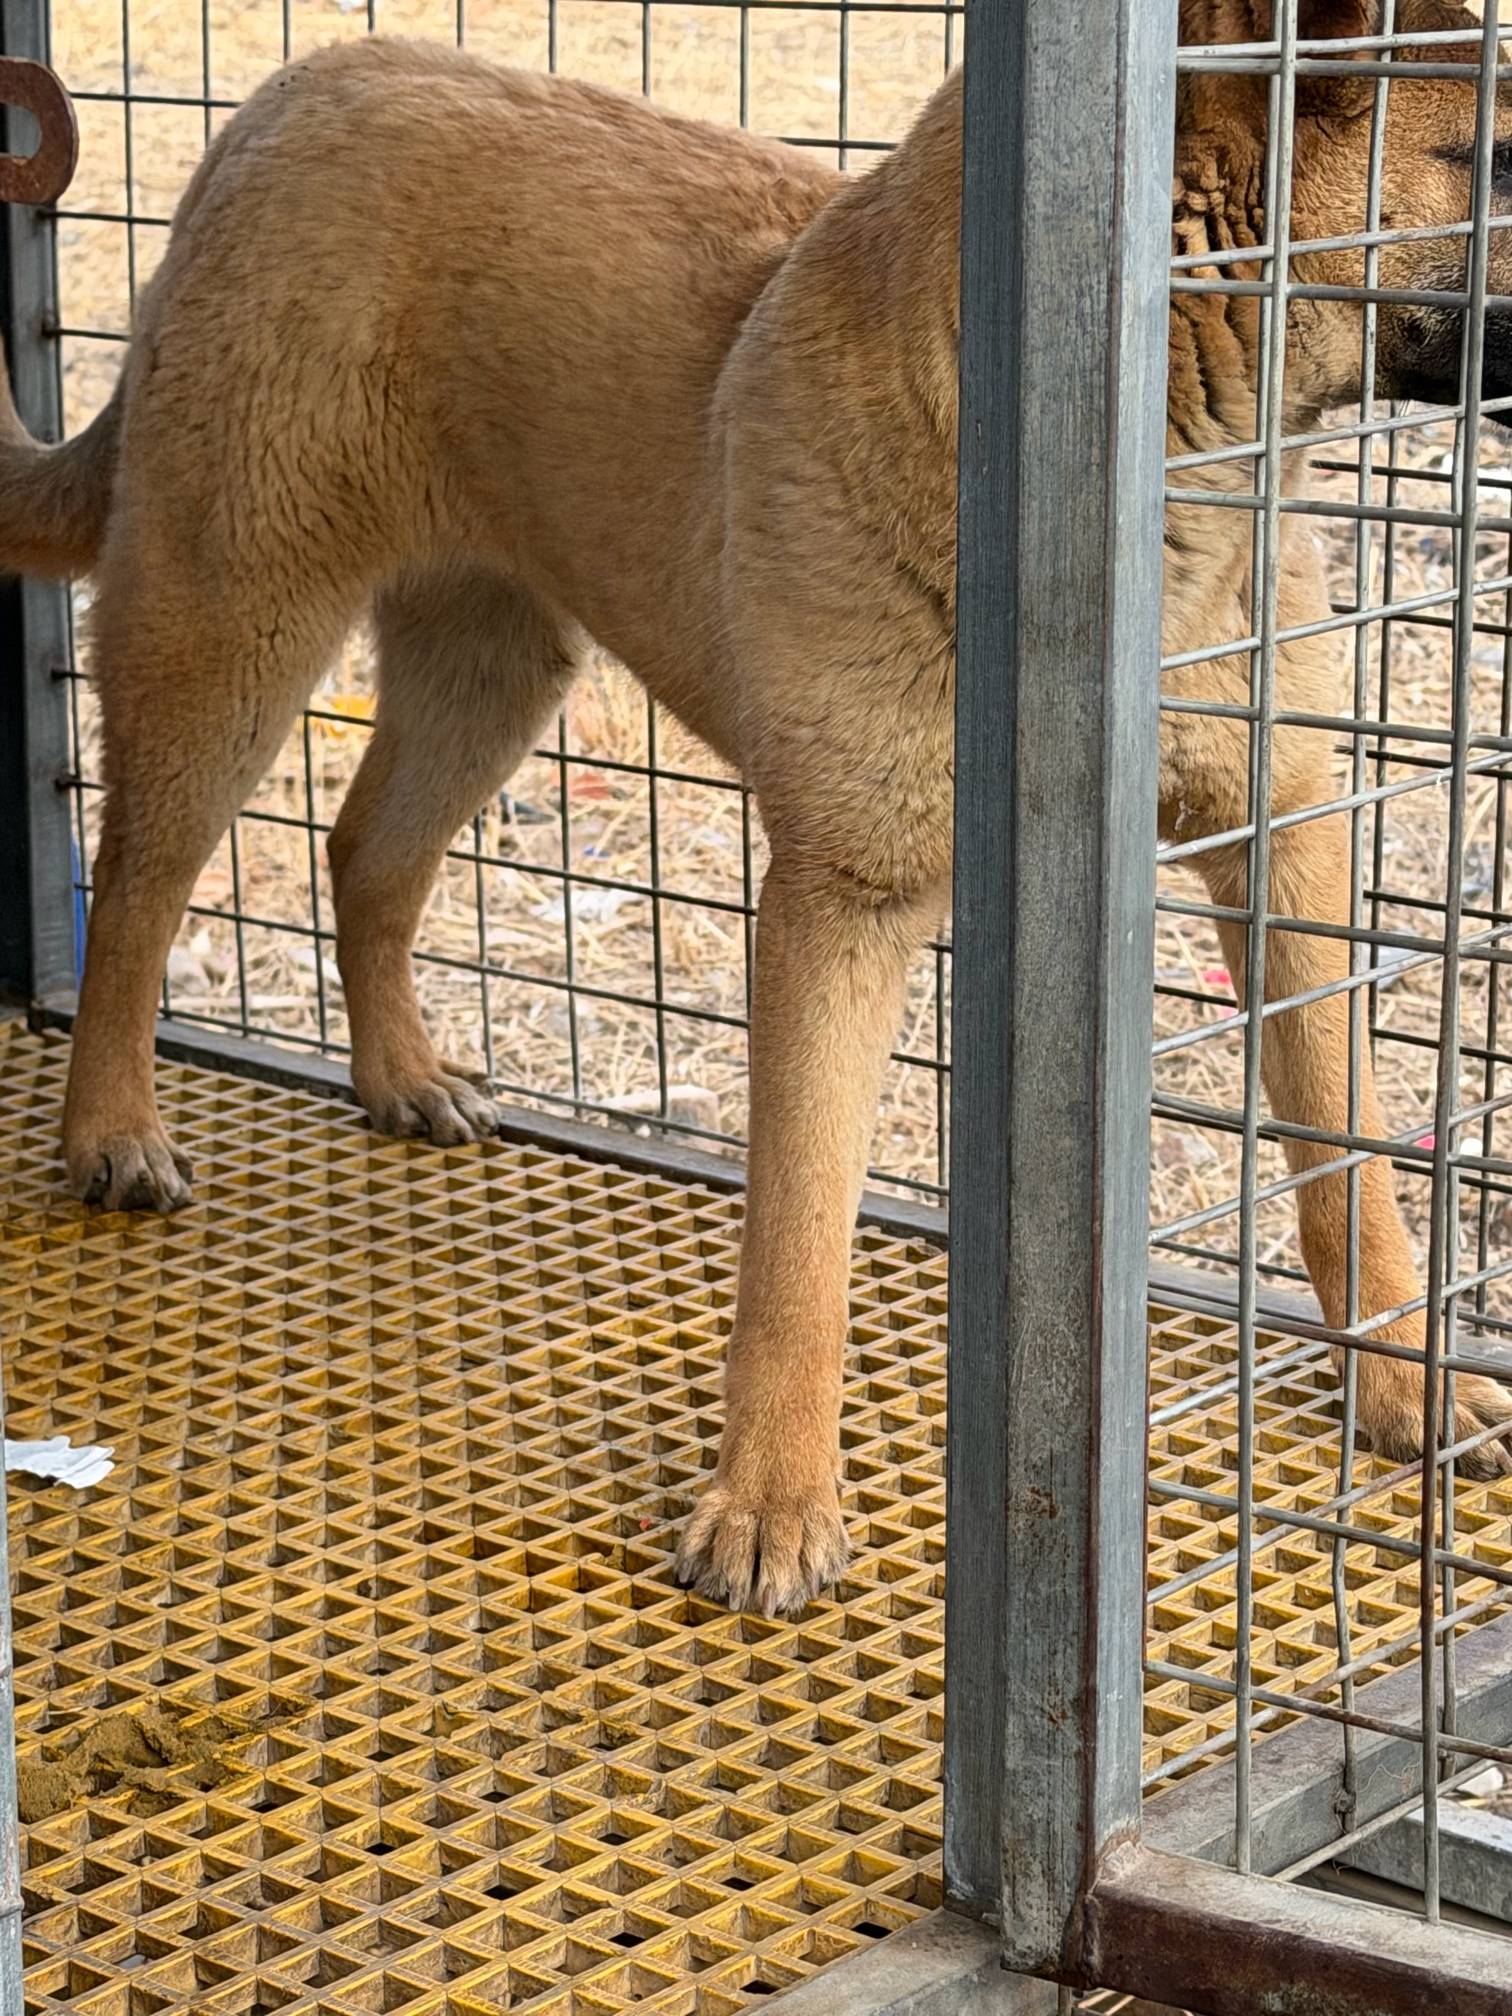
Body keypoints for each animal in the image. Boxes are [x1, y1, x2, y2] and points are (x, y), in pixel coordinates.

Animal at [2, 0, 1509, 1615]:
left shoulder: (1282, 849)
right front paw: (772, 1504)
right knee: (139, 889)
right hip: (233, 637)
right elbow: (797, 1245)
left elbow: (1350, 1157)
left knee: (364, 857)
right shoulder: (839, 908)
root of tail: (295, 91)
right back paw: (110, 1131)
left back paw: (400, 1074)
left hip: (491, 670)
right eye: (1489, 153)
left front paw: (1409, 1387)